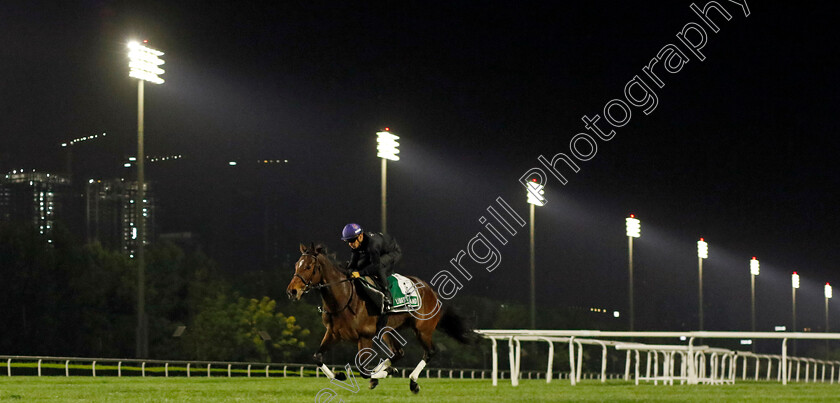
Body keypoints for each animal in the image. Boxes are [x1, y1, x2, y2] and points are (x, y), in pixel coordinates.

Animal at [286, 245, 472, 392]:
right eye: (296, 265)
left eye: (308, 266)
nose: (292, 291)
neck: (344, 299)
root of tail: (432, 291)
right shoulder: (333, 334)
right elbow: (317, 357)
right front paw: (339, 375)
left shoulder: (365, 337)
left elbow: (362, 368)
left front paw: (383, 373)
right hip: (387, 331)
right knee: (398, 353)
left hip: (422, 329)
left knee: (430, 352)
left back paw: (412, 381)